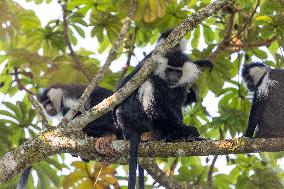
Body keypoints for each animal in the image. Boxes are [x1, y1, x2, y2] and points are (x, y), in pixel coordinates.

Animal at [113, 30, 213, 188]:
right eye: (169, 71)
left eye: (177, 72)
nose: (172, 77)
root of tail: (130, 128)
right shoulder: (151, 73)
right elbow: (154, 107)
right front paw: (188, 131)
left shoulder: (180, 88)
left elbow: (176, 106)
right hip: (143, 121)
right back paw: (171, 135)